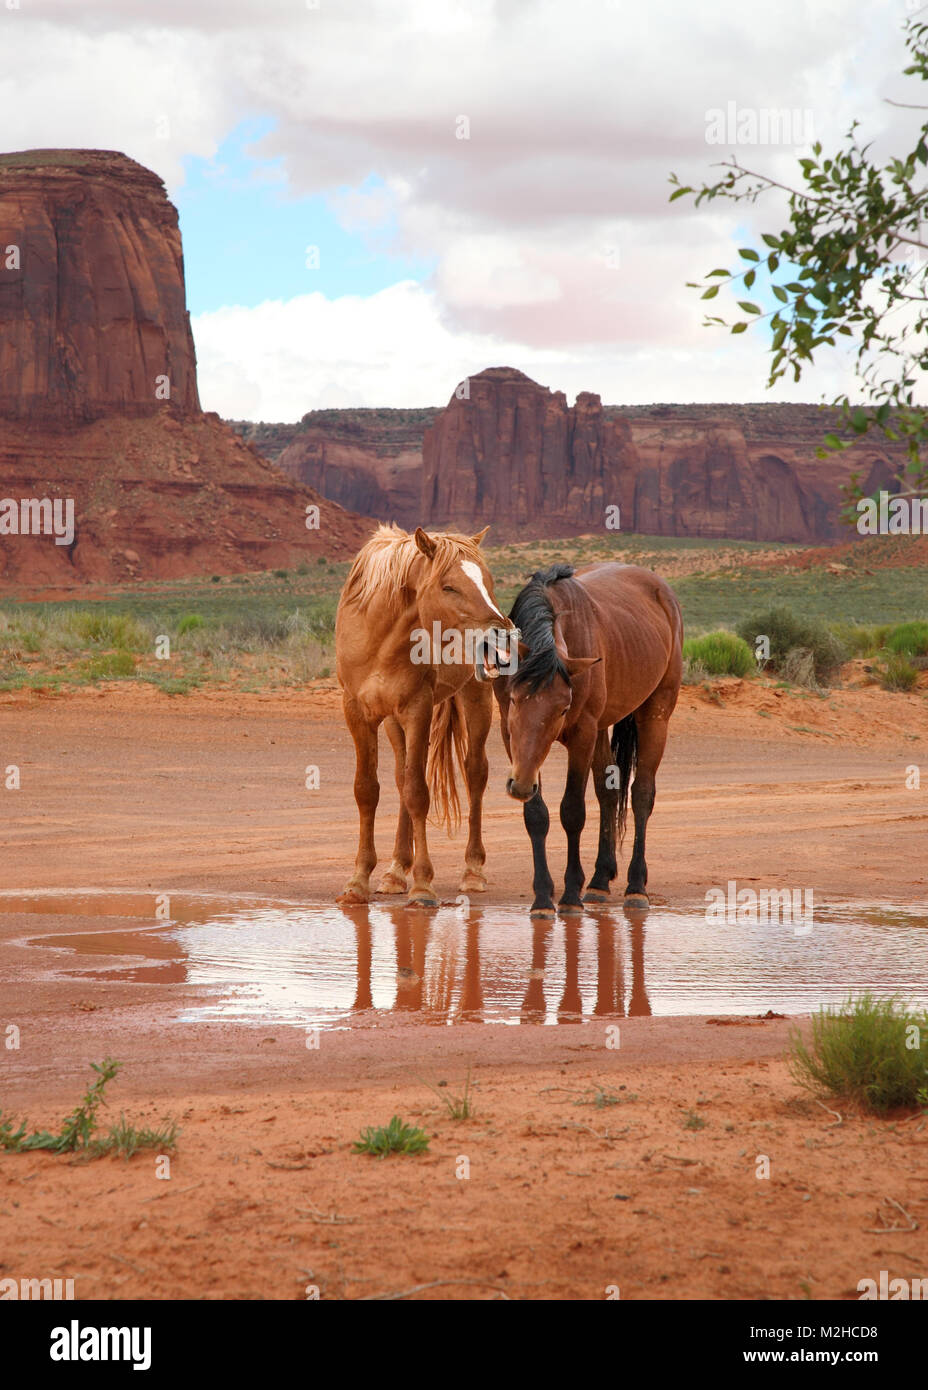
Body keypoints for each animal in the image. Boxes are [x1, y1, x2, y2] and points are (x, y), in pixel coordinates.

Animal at [335, 523, 514, 907]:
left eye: (488, 582)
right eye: (448, 586)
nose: (502, 634)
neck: (380, 641)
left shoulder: (416, 709)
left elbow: (418, 792)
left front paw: (422, 886)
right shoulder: (359, 713)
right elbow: (368, 790)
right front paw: (359, 881)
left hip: (475, 699)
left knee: (475, 773)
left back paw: (472, 871)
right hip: (394, 723)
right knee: (402, 776)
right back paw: (394, 871)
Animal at [492, 561, 682, 915]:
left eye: (563, 708)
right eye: (513, 699)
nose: (519, 786)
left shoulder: (582, 734)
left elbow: (572, 812)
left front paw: (569, 895)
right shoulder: (513, 740)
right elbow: (536, 815)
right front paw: (543, 898)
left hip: (655, 714)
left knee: (641, 795)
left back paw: (636, 886)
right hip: (603, 730)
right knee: (608, 793)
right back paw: (599, 881)